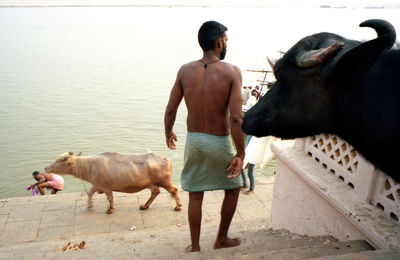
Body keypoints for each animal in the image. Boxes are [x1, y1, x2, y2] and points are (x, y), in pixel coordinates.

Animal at [44, 151, 182, 214]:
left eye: (58, 162)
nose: (46, 168)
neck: (90, 166)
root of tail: (164, 158)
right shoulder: (97, 185)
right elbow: (90, 193)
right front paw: (89, 205)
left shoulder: (106, 187)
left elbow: (109, 198)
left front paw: (110, 210)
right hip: (151, 184)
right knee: (155, 192)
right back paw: (144, 206)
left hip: (165, 181)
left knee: (174, 190)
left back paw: (178, 206)